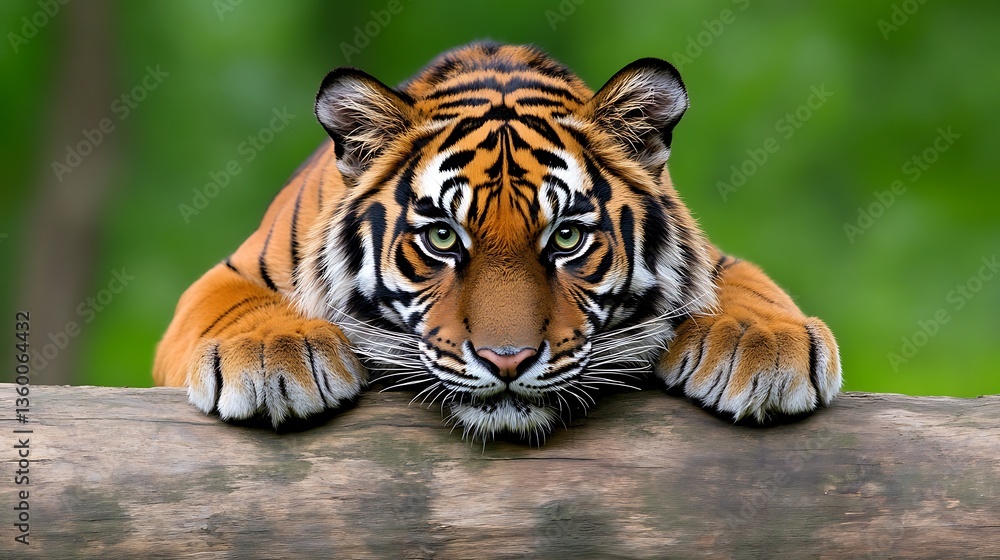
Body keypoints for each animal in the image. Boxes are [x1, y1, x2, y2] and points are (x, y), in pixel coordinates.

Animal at [154, 42, 841, 442]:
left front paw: (764, 346)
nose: (506, 361)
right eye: (441, 236)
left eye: (567, 236)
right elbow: (235, 307)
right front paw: (275, 357)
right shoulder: (228, 274)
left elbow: (751, 286)